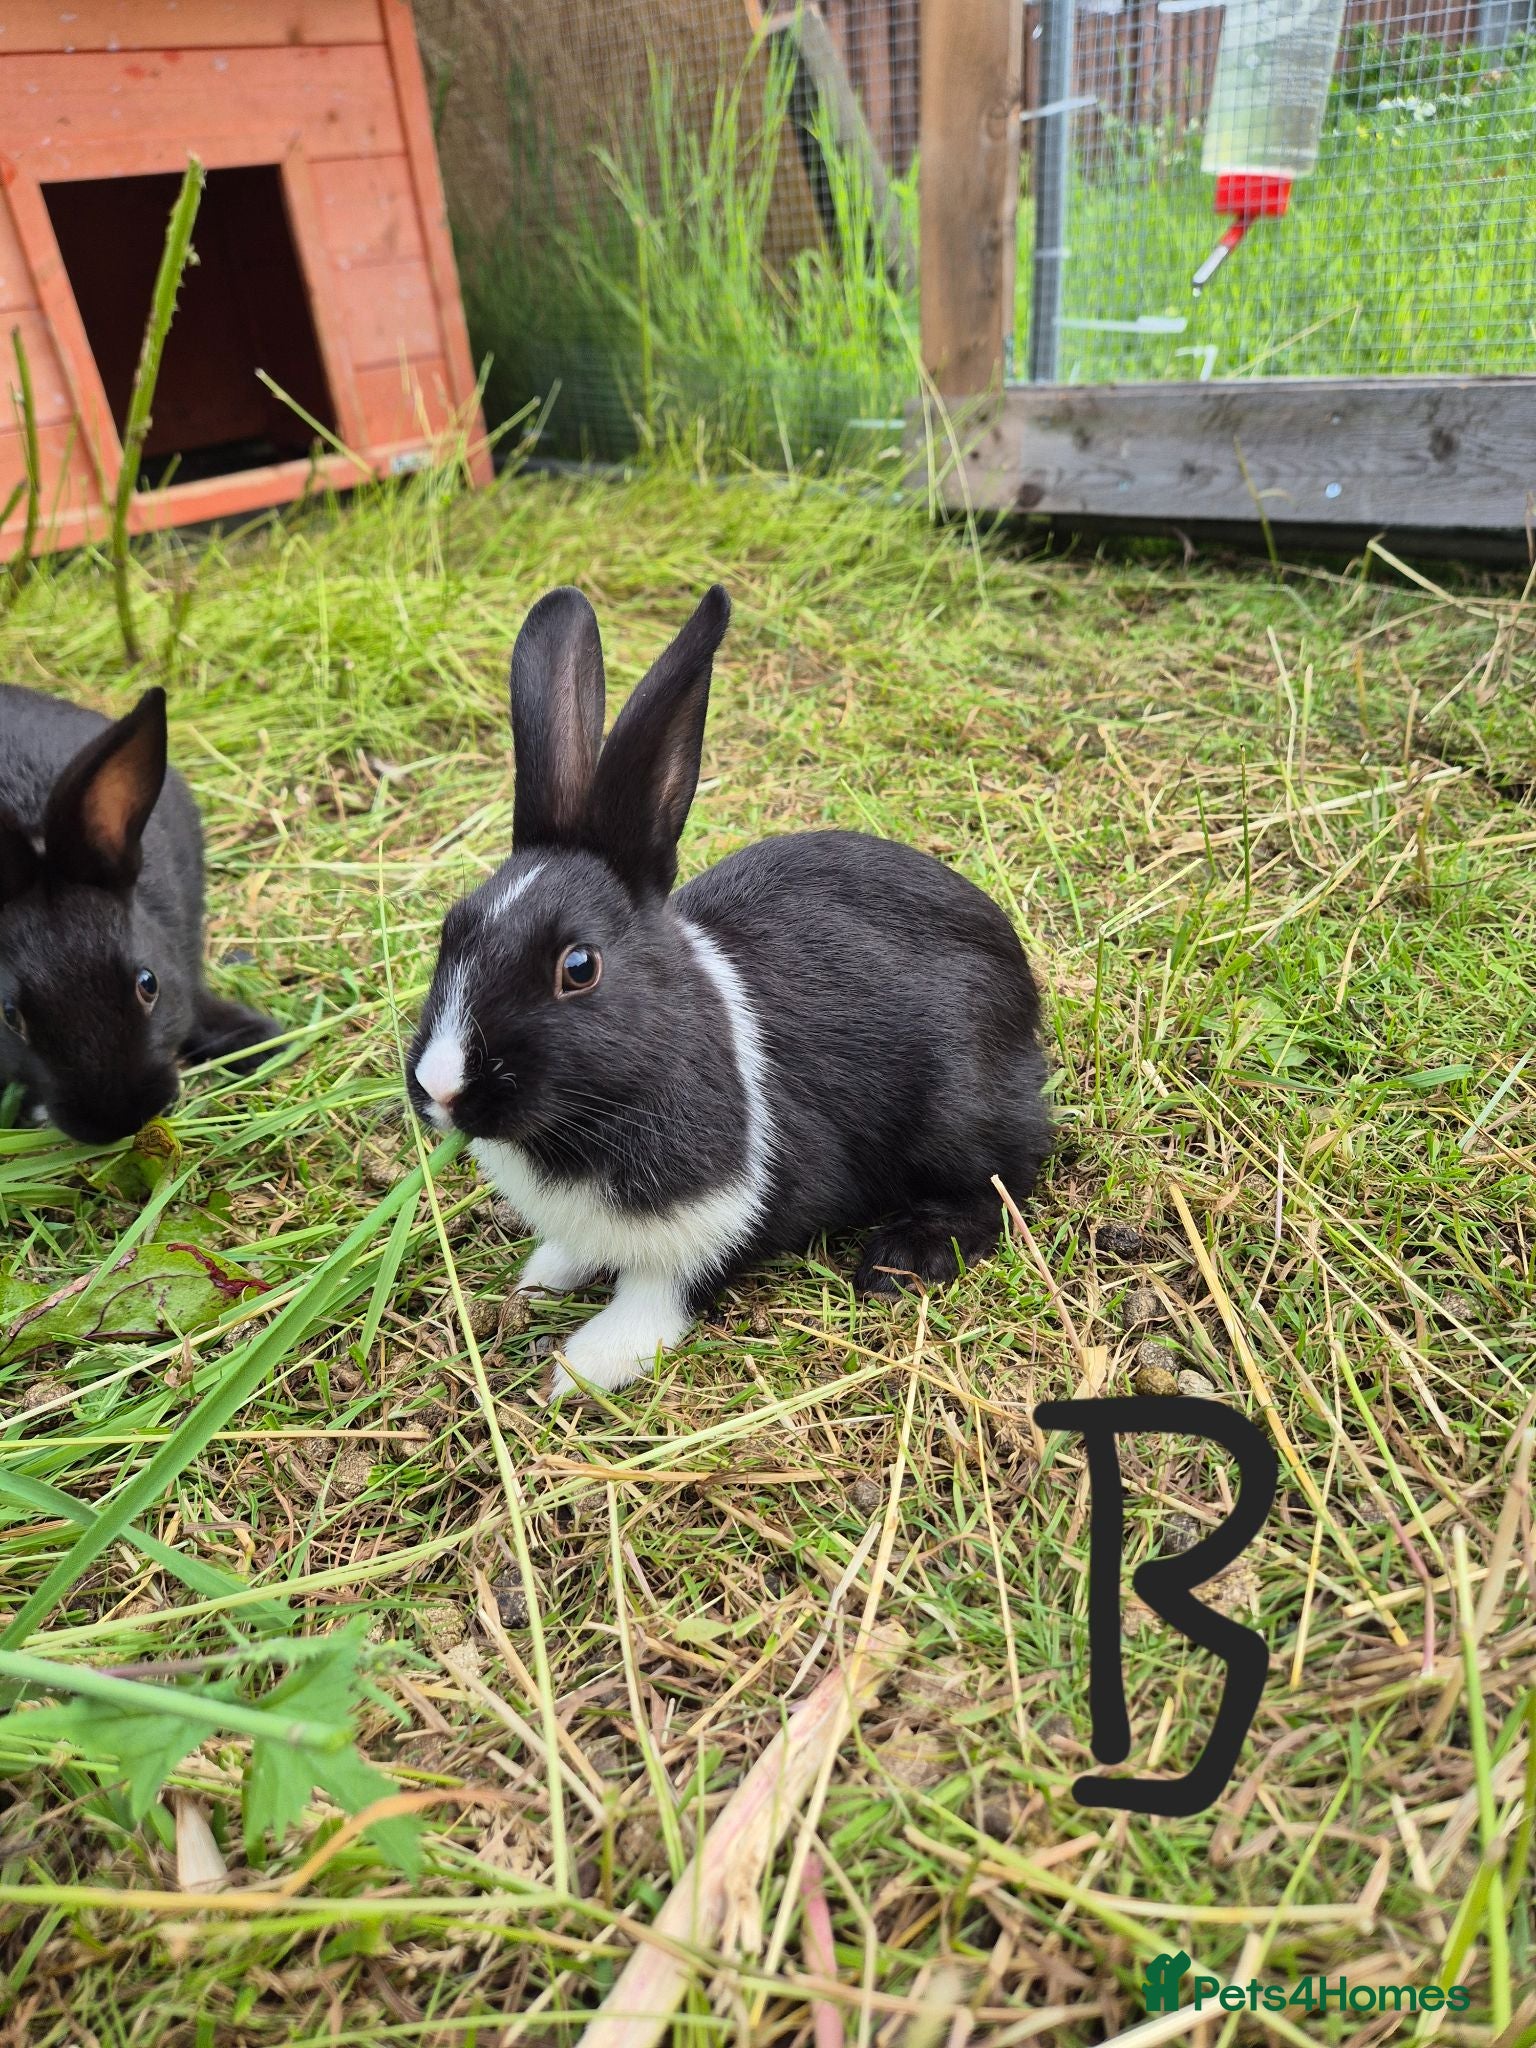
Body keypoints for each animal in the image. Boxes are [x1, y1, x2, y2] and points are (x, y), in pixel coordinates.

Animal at [406, 584, 1051, 1401]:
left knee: (1004, 1180)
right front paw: (541, 1278)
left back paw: (903, 1256)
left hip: (959, 1115)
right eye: (451, 928)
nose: (439, 1089)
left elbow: (661, 1293)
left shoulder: (731, 1216)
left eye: (578, 967)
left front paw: (579, 1369)